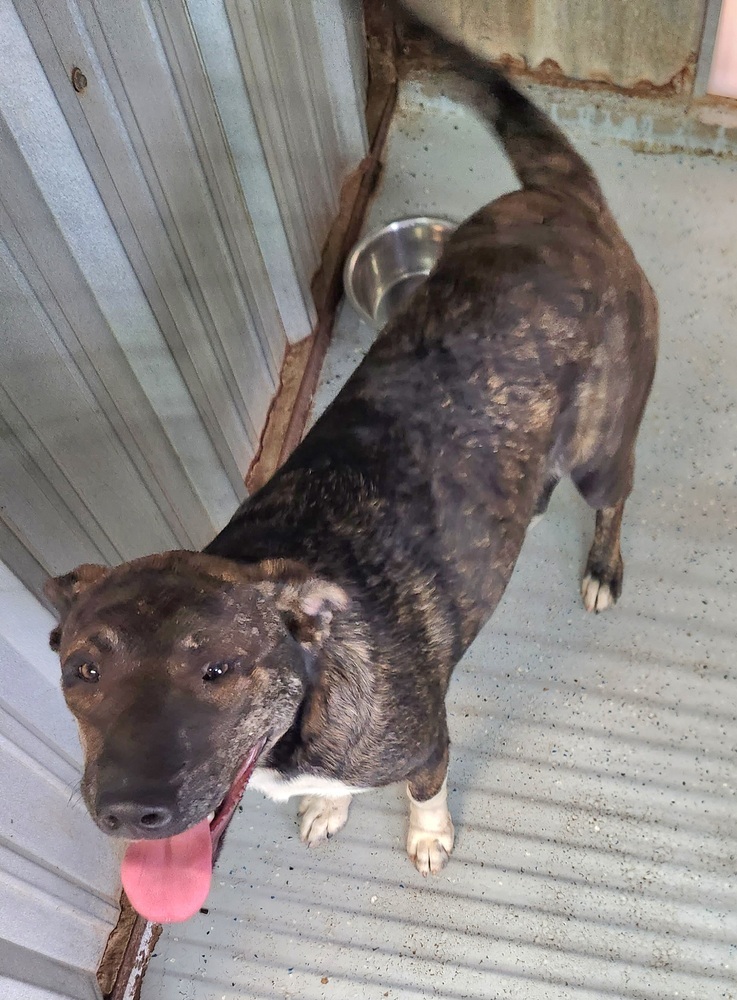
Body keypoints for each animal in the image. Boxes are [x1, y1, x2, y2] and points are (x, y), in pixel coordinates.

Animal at [44, 1, 656, 920]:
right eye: (82, 670)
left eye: (217, 669)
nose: (127, 811)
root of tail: (560, 197)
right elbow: (330, 791)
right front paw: (327, 806)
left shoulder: (427, 741)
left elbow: (422, 791)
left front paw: (428, 837)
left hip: (603, 445)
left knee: (614, 494)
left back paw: (600, 567)